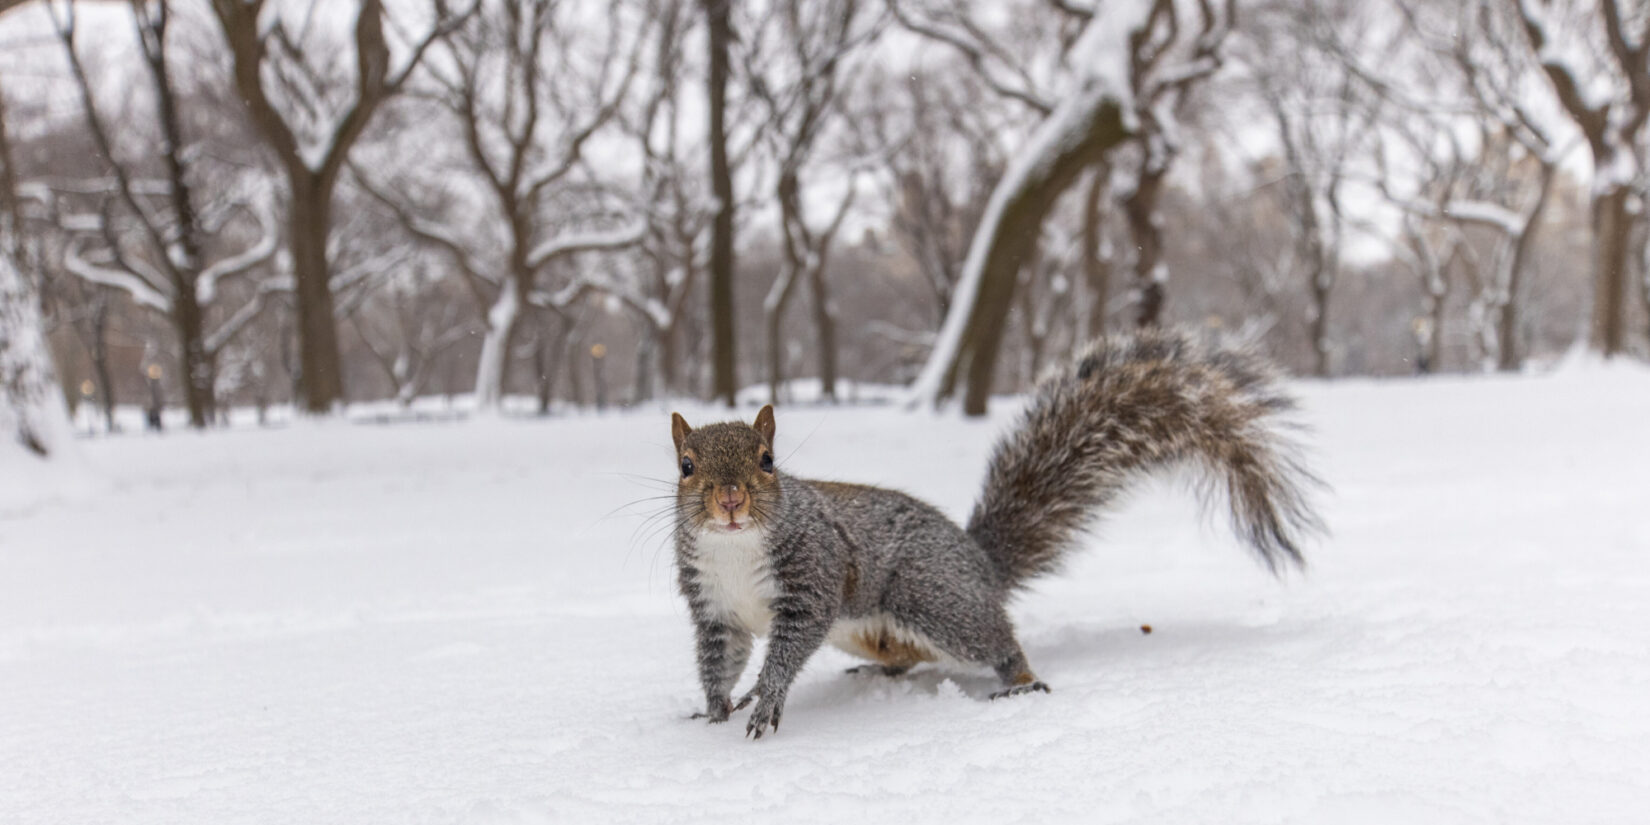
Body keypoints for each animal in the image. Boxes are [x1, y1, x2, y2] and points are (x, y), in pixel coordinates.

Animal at [663, 328, 1320, 742]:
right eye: (686, 466)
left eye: (768, 460)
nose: (729, 499)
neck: (732, 547)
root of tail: (980, 562)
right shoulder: (715, 607)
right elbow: (720, 661)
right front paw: (714, 712)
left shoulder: (815, 574)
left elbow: (790, 644)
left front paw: (767, 698)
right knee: (908, 657)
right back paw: (878, 673)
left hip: (935, 600)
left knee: (997, 643)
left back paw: (1021, 685)